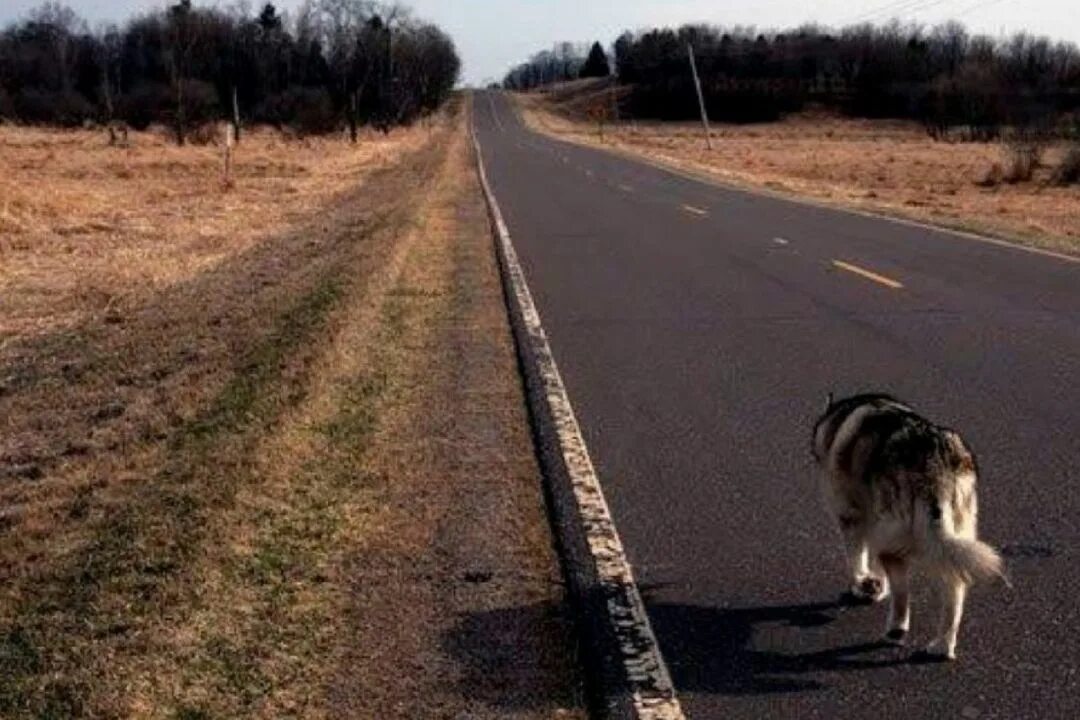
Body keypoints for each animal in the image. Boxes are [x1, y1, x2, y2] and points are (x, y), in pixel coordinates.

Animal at [812, 395, 1006, 660]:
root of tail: (934, 466)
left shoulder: (850, 515)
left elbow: (856, 557)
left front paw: (862, 585)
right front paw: (875, 585)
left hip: (894, 538)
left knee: (902, 593)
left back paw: (896, 630)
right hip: (958, 531)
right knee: (955, 587)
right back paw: (943, 645)